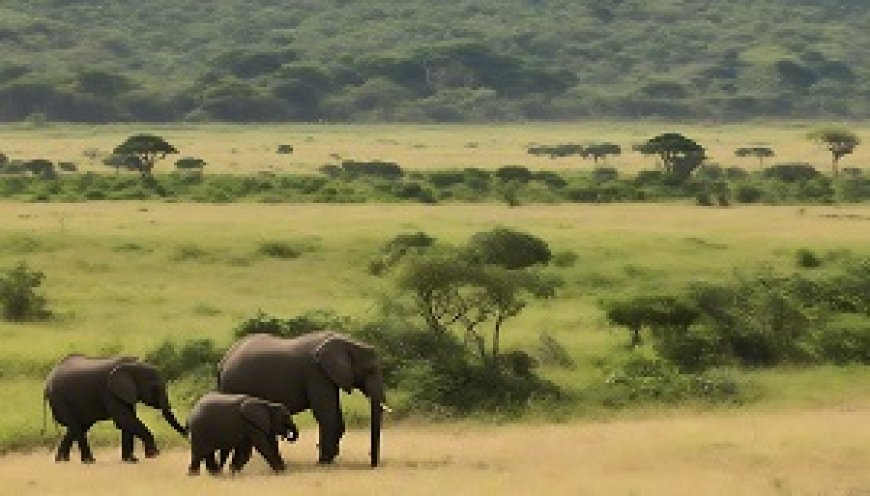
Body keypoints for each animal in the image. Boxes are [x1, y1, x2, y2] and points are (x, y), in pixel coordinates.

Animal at [44, 354, 187, 464]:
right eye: (155, 388)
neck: (132, 365)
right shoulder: (110, 392)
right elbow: (124, 419)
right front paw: (153, 454)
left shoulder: (125, 393)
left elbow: (127, 421)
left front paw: (131, 460)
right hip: (60, 399)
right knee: (76, 426)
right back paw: (89, 461)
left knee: (78, 427)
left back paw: (62, 460)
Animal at [217, 332, 384, 466]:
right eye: (370, 370)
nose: (372, 463)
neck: (345, 341)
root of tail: (223, 361)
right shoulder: (316, 372)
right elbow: (326, 415)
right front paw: (324, 463)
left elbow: (334, 416)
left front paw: (329, 459)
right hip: (235, 385)